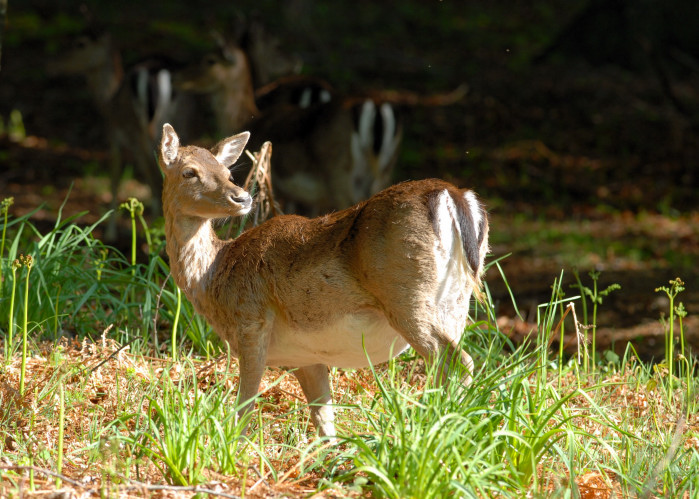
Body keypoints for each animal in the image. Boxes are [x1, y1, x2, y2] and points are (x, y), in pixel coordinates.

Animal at [158, 124, 490, 438]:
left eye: (228, 173)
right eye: (189, 172)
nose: (241, 196)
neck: (213, 277)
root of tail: (454, 196)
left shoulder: (251, 323)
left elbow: (244, 407)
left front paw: (233, 447)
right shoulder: (305, 356)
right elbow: (325, 422)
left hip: (407, 297)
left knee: (458, 361)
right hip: (455, 302)